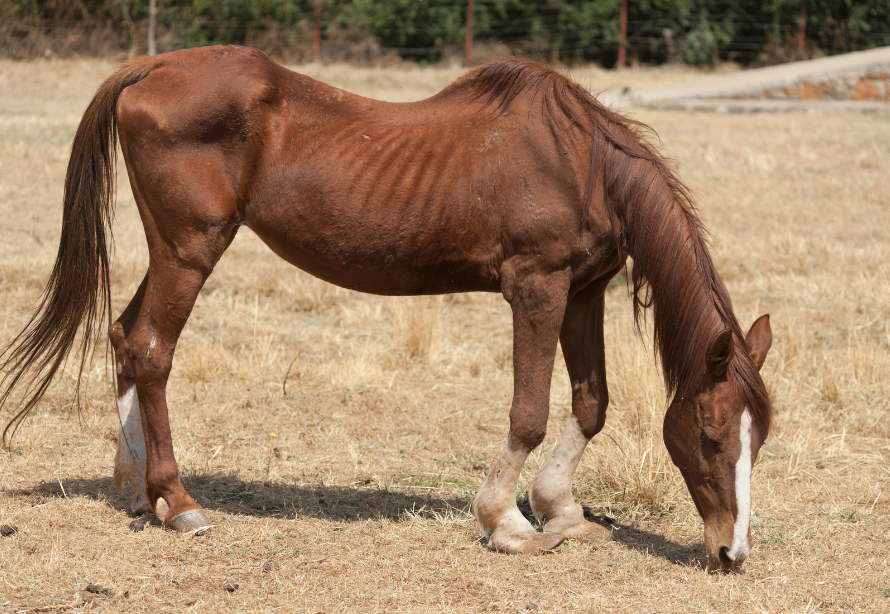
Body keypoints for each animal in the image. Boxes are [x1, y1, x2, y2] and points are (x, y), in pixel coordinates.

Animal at [0, 45, 768, 576]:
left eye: (759, 438)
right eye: (709, 433)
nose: (730, 553)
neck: (582, 164)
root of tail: (151, 65)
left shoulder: (583, 291)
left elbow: (591, 403)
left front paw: (562, 509)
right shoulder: (537, 287)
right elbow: (528, 412)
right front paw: (506, 522)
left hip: (170, 251)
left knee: (125, 337)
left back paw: (135, 488)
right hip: (190, 250)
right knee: (153, 352)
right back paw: (180, 503)